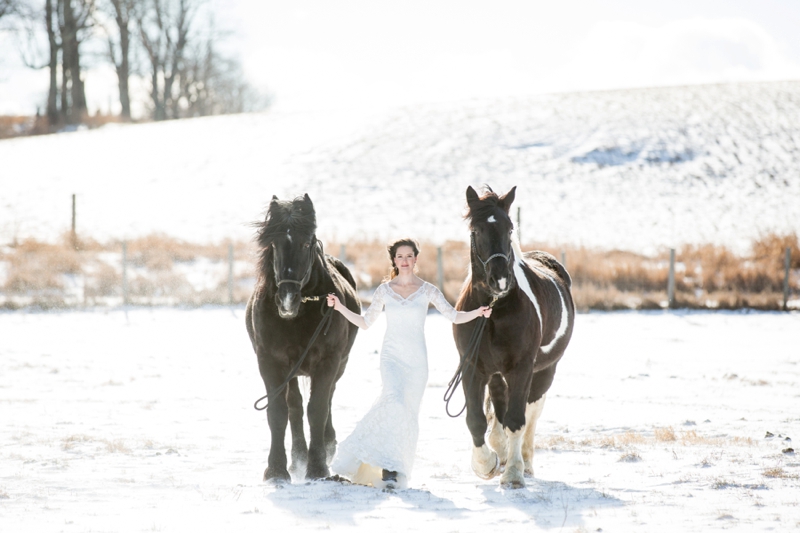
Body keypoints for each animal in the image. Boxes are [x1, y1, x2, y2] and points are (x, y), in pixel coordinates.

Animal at [245, 193, 360, 480]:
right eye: (273, 243)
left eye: (307, 242)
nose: (287, 300)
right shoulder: (270, 363)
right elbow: (279, 411)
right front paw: (276, 469)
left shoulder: (328, 362)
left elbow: (317, 409)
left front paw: (317, 467)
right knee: (295, 406)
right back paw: (297, 458)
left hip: (339, 365)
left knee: (327, 399)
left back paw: (326, 447)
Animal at [450, 185, 576, 488]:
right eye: (476, 230)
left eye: (509, 229)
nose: (500, 280)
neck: (492, 311)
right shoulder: (472, 368)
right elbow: (476, 420)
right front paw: (487, 464)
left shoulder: (521, 368)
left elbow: (517, 420)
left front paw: (513, 473)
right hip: (497, 375)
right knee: (499, 411)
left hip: (544, 372)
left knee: (530, 414)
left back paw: (525, 463)